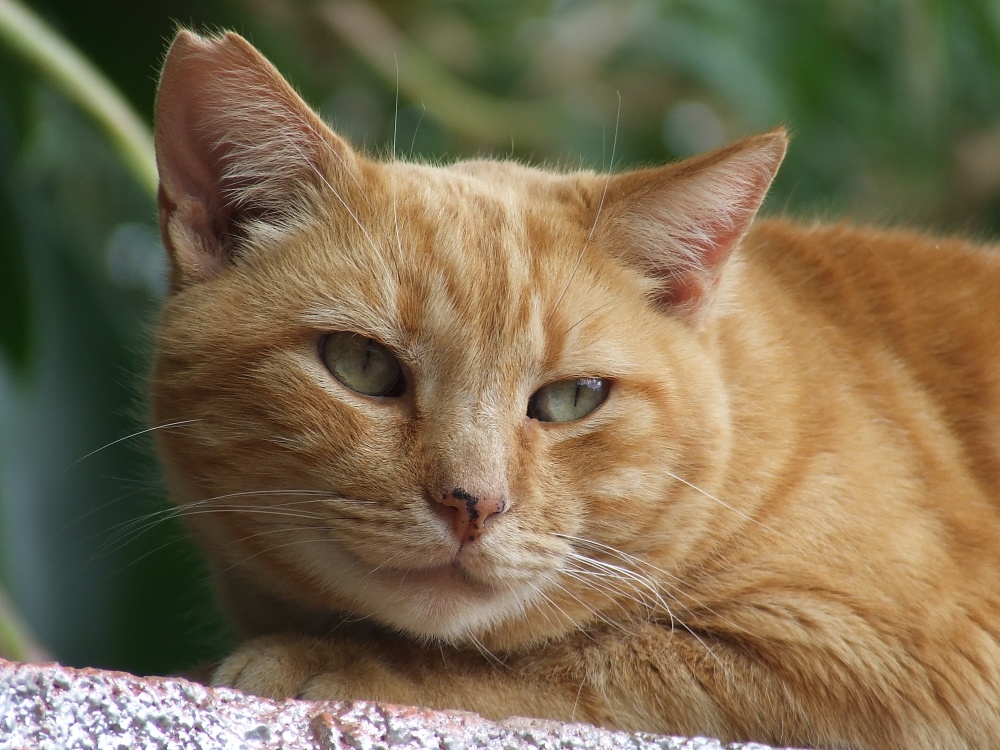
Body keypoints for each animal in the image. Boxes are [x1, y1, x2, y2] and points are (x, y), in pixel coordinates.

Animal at [150, 30, 1000, 750]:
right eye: (361, 364)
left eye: (572, 397)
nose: (472, 503)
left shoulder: (894, 657)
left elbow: (574, 657)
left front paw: (331, 661)